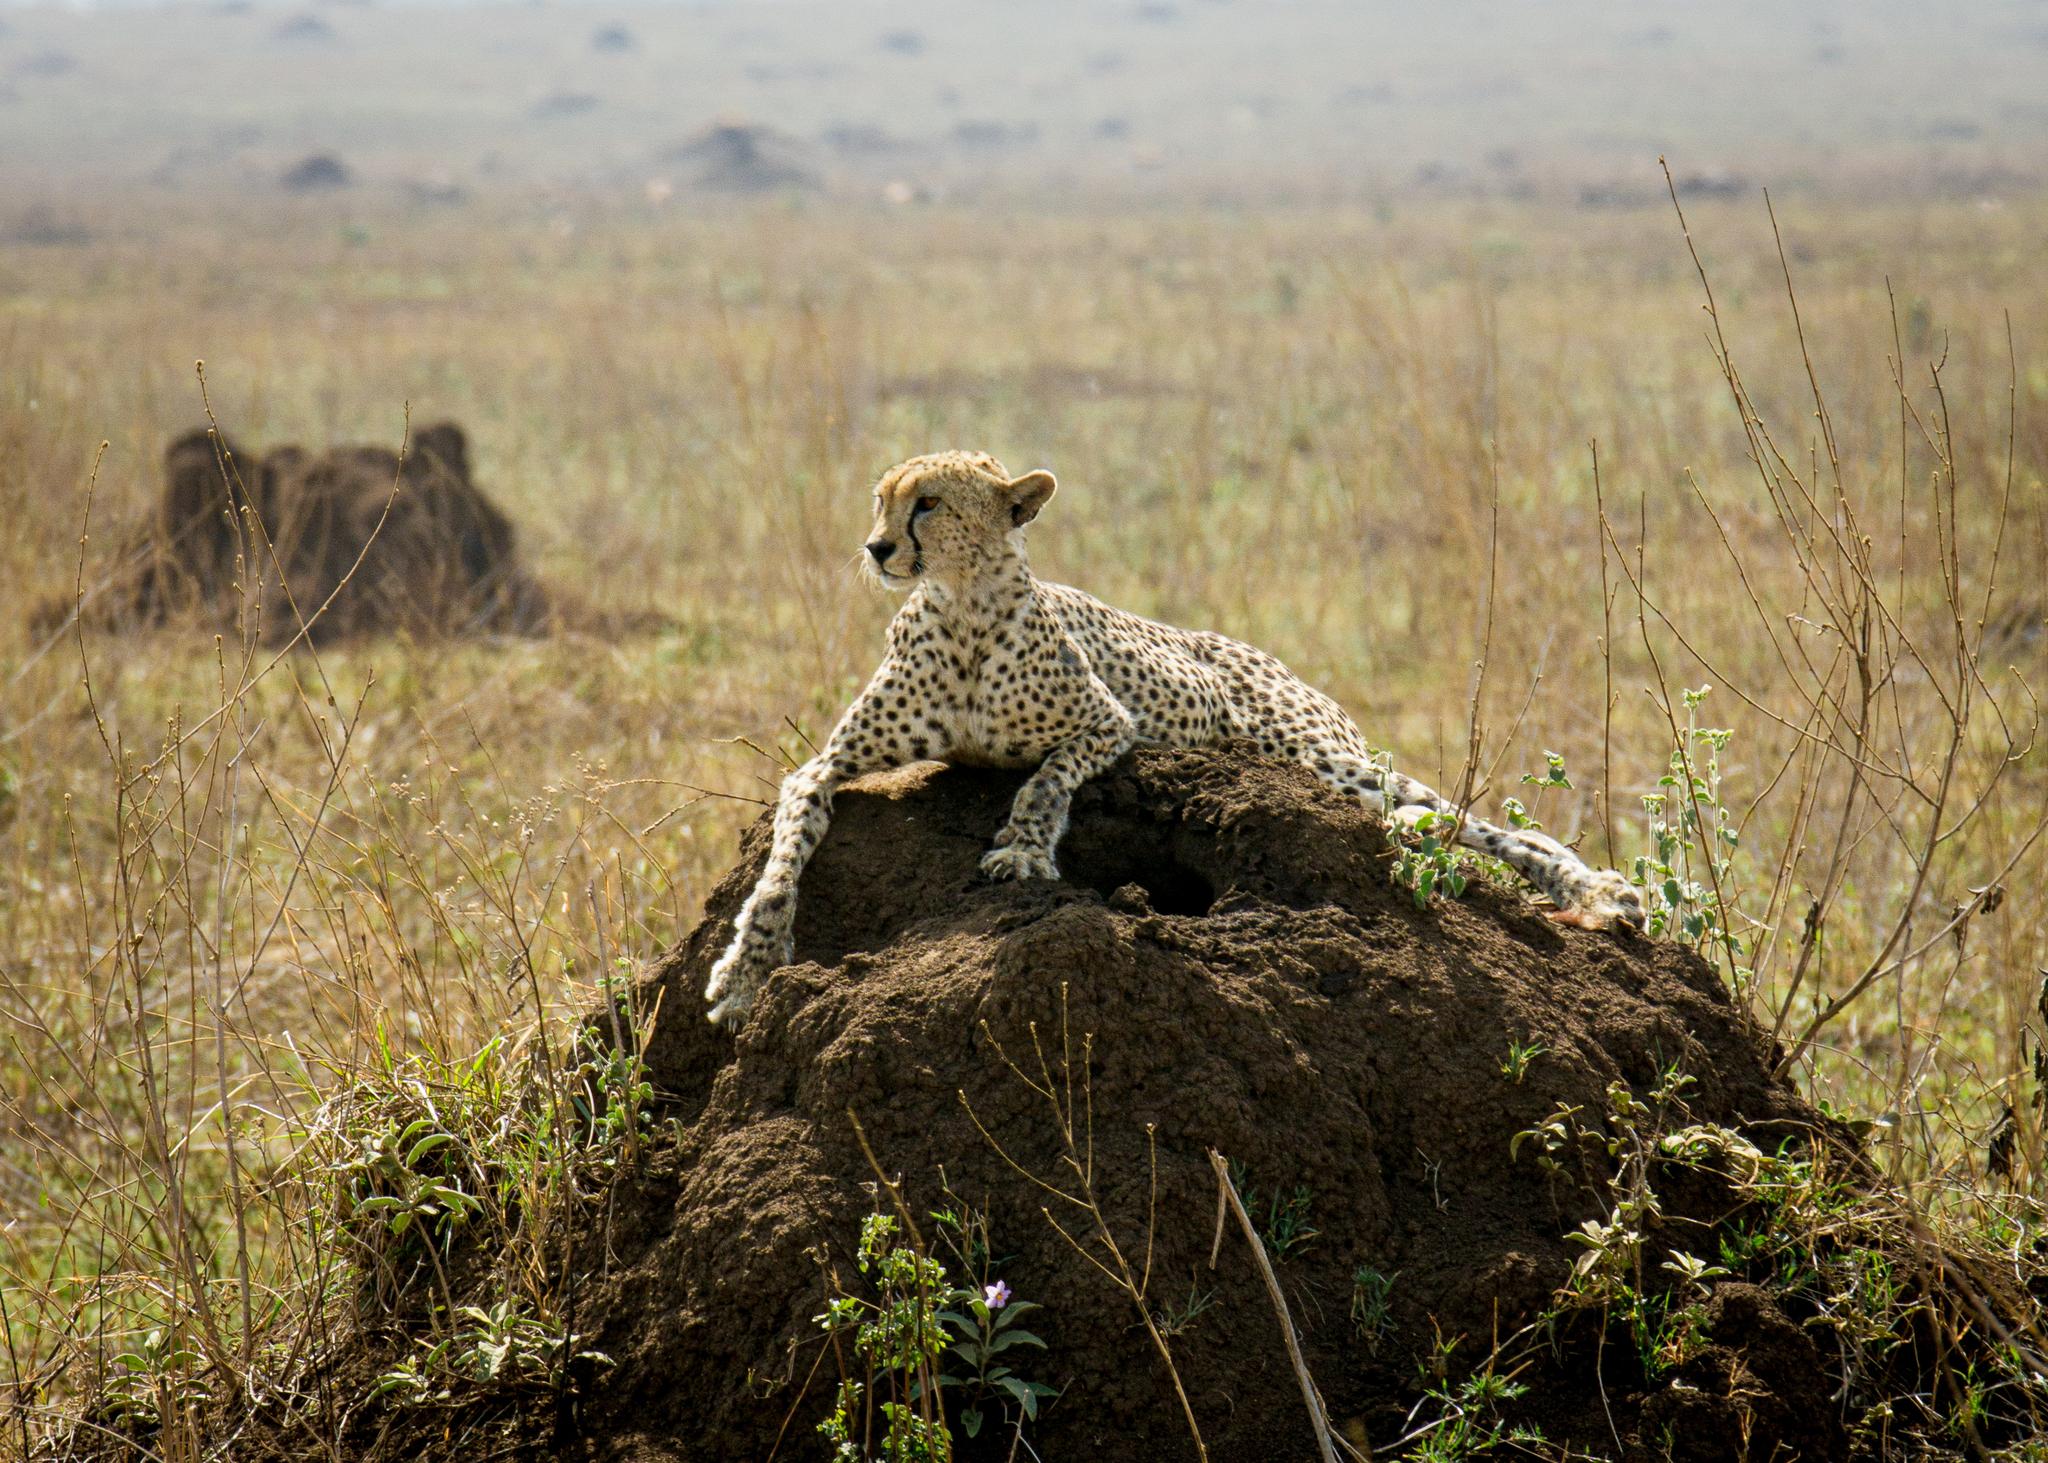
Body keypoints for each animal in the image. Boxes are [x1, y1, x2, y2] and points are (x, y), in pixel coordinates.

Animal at [704, 450, 1647, 1025]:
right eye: (882, 498)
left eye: (927, 504)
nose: (875, 547)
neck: (964, 606)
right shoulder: (826, 764)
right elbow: (786, 850)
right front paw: (745, 970)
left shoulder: (1105, 723)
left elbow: (1044, 778)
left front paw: (1021, 849)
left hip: (1323, 760)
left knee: (1477, 824)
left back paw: (1602, 891)